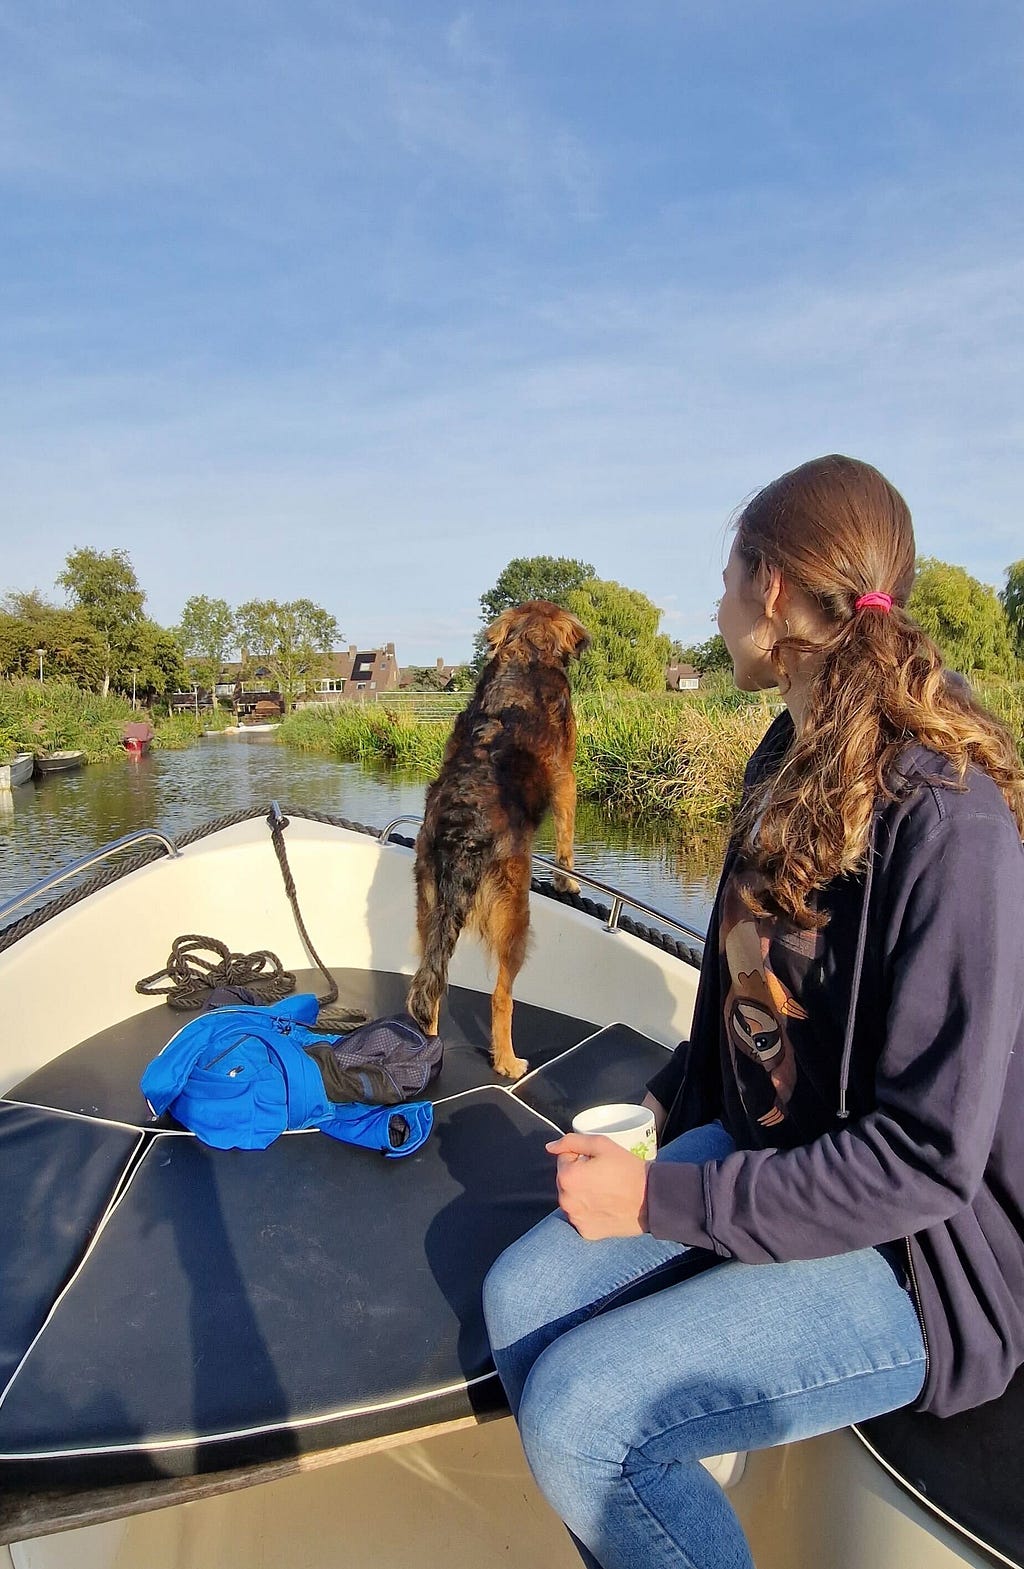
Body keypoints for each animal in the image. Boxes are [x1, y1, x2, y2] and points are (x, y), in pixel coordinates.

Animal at [404, 599, 586, 1079]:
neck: (526, 653)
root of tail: (461, 834)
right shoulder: (566, 777)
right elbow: (567, 837)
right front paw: (568, 882)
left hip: (428, 906)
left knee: (430, 987)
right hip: (514, 918)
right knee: (500, 997)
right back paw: (508, 1061)